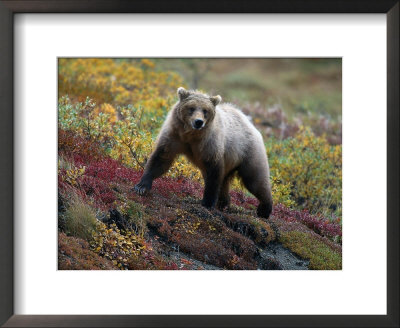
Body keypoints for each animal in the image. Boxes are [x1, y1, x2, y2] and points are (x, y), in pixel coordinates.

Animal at [134, 88, 272, 219]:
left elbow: (213, 173)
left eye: (205, 110)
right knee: (225, 182)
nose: (198, 121)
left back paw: (264, 209)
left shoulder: (210, 144)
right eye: (191, 108)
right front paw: (141, 186)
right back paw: (224, 203)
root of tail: (250, 124)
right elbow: (161, 158)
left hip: (248, 152)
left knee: (255, 179)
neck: (191, 135)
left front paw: (207, 202)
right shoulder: (174, 136)